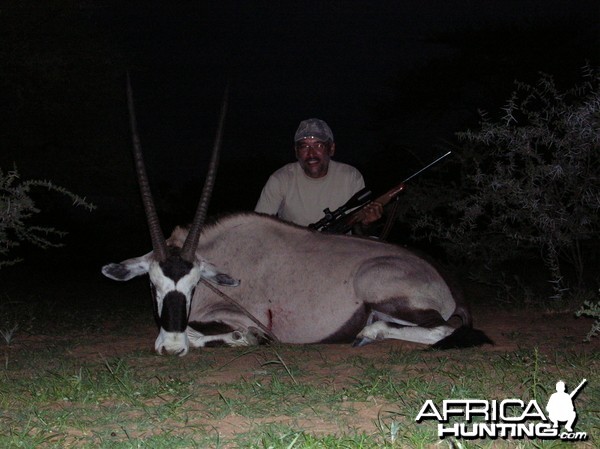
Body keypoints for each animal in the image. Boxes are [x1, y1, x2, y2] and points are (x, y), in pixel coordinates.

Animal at [101, 78, 490, 356]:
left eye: (194, 285)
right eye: (152, 285)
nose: (171, 347)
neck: (228, 258)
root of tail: (445, 278)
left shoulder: (242, 317)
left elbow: (229, 333)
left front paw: (234, 339)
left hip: (384, 291)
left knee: (444, 328)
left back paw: (367, 333)